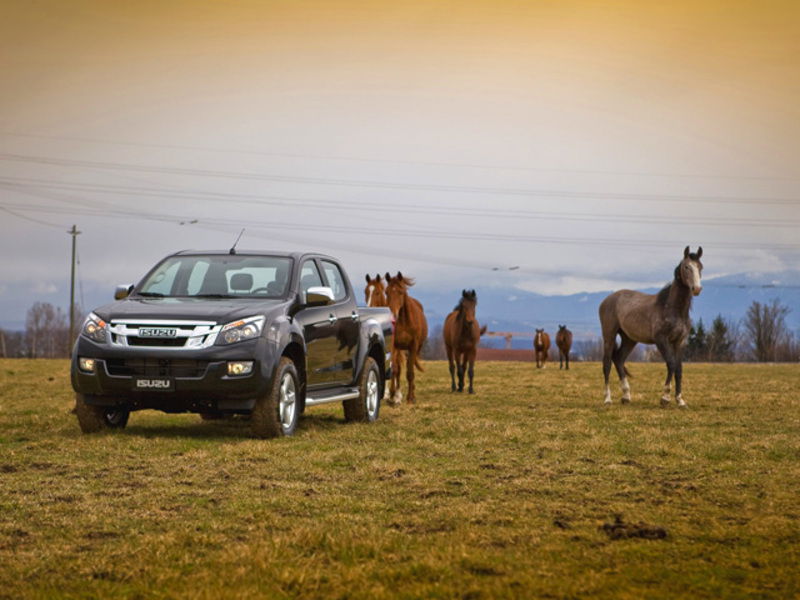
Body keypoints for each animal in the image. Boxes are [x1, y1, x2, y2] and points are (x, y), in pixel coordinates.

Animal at [384, 274, 428, 406]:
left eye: (400, 292)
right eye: (386, 292)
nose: (392, 315)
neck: (404, 322)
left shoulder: (413, 346)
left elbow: (410, 373)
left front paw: (410, 398)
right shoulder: (394, 346)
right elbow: (394, 370)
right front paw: (392, 396)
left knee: (410, 367)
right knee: (398, 369)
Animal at [596, 245, 704, 408]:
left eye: (700, 267)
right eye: (686, 267)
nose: (696, 289)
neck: (671, 308)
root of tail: (607, 300)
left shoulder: (679, 342)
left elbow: (679, 369)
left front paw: (680, 400)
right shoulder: (661, 340)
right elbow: (671, 364)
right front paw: (665, 398)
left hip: (629, 339)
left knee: (619, 359)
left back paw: (626, 396)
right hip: (609, 335)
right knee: (607, 363)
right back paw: (607, 399)